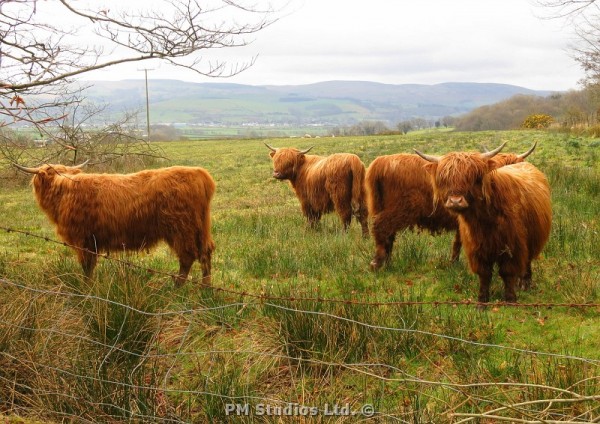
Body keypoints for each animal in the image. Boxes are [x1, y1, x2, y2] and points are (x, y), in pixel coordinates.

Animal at [14, 162, 218, 288]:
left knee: (187, 257)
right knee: (205, 254)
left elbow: (86, 266)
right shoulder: (91, 241)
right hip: (201, 228)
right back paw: (205, 288)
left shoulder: (83, 239)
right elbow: (90, 265)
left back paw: (175, 288)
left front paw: (86, 288)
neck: (64, 191)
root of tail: (198, 173)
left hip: (181, 229)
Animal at [366, 142, 540, 268]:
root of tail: (381, 162)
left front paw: (453, 262)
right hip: (398, 209)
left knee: (388, 234)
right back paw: (377, 262)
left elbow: (457, 241)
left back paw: (388, 262)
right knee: (380, 227)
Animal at [414, 144, 552, 304]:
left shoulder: (513, 245)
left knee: (527, 261)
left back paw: (525, 283)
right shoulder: (476, 248)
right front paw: (482, 301)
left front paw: (510, 299)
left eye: (473, 177)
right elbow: (484, 274)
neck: (485, 218)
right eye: (445, 179)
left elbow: (508, 272)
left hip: (532, 238)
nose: (455, 201)